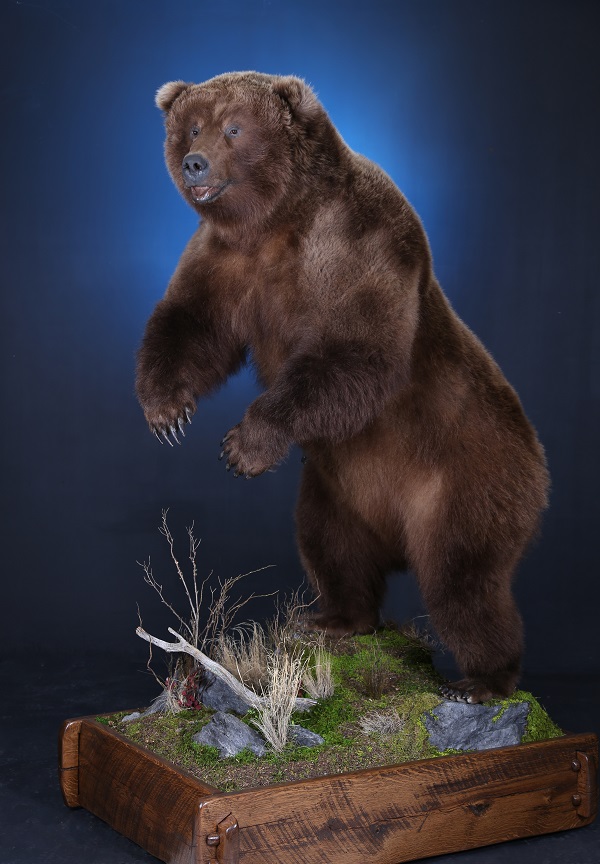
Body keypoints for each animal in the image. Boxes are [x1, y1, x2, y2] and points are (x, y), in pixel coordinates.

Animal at [136, 71, 549, 704]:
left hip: (469, 480)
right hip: (338, 488)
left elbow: (359, 353)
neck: (277, 220)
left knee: (464, 583)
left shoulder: (360, 244)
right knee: (332, 546)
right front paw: (166, 411)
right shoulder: (227, 258)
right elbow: (192, 323)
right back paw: (335, 618)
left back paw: (482, 680)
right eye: (192, 126)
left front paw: (245, 444)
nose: (194, 163)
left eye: (234, 128)